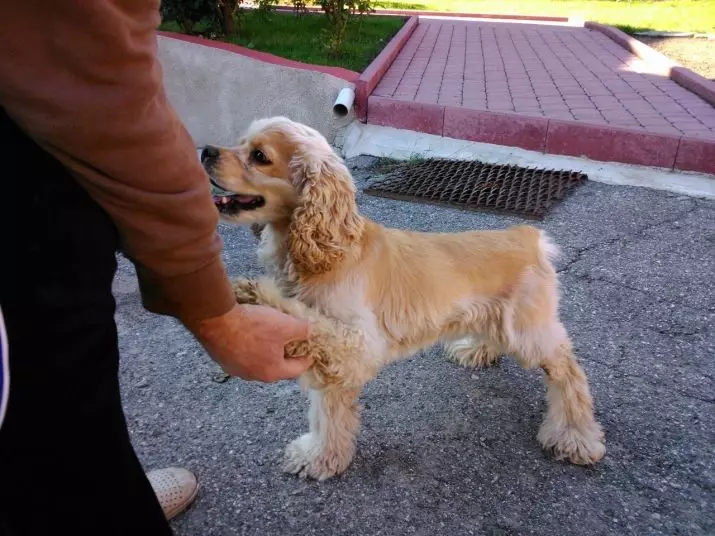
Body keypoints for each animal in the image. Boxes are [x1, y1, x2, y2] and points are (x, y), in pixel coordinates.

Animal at [201, 117, 604, 482]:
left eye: (259, 155)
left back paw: (575, 438)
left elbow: (305, 324)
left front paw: (253, 292)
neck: (329, 249)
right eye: (241, 141)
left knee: (568, 371)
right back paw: (476, 350)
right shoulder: (335, 358)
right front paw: (319, 456)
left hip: (529, 330)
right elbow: (326, 410)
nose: (204, 150)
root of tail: (528, 236)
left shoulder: (355, 342)